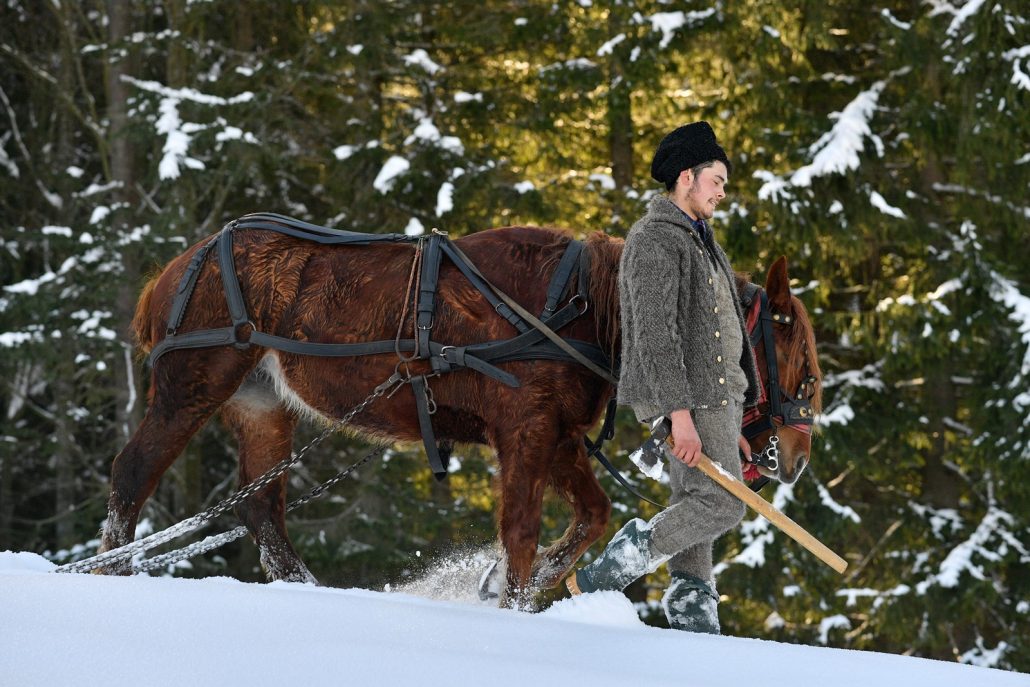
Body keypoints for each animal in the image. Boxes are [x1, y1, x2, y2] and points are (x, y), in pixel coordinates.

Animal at [98, 224, 819, 605]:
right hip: (194, 383)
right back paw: (112, 571)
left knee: (260, 507)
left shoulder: (557, 435)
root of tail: (172, 270)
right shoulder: (524, 429)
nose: (797, 455)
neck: (589, 309)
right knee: (132, 471)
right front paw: (509, 593)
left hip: (263, 404)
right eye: (794, 356)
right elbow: (522, 529)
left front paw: (507, 583)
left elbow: (591, 516)